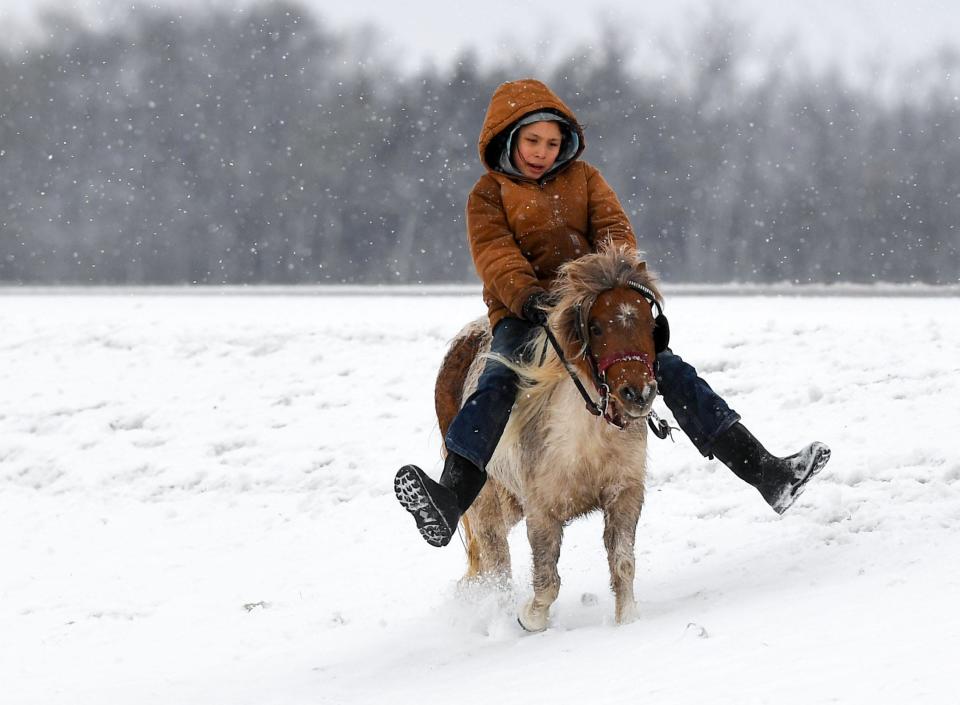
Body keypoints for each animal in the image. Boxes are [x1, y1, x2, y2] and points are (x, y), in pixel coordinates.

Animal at [436, 245, 668, 628]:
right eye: (595, 327)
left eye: (651, 325)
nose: (639, 393)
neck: (586, 434)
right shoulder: (542, 510)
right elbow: (547, 580)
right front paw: (528, 619)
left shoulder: (624, 494)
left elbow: (623, 563)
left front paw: (628, 620)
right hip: (486, 500)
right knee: (496, 561)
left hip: (510, 501)